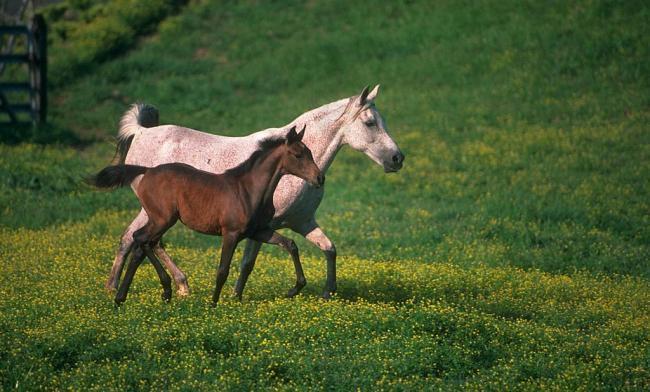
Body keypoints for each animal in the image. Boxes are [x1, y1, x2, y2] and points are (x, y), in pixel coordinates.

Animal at [88, 126, 322, 306]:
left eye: (310, 152)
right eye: (298, 155)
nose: (320, 178)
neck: (249, 190)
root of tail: (146, 171)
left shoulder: (259, 231)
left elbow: (290, 244)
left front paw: (295, 288)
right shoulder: (231, 233)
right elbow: (222, 270)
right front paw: (213, 303)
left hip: (158, 220)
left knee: (143, 245)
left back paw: (137, 296)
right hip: (162, 219)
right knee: (141, 240)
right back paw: (146, 292)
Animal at [107, 86, 402, 298]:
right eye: (370, 123)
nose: (397, 158)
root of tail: (141, 133)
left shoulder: (303, 222)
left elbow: (329, 249)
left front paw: (328, 292)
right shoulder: (261, 227)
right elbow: (248, 262)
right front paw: (235, 296)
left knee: (141, 239)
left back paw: (172, 286)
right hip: (156, 212)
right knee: (137, 238)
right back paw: (125, 288)